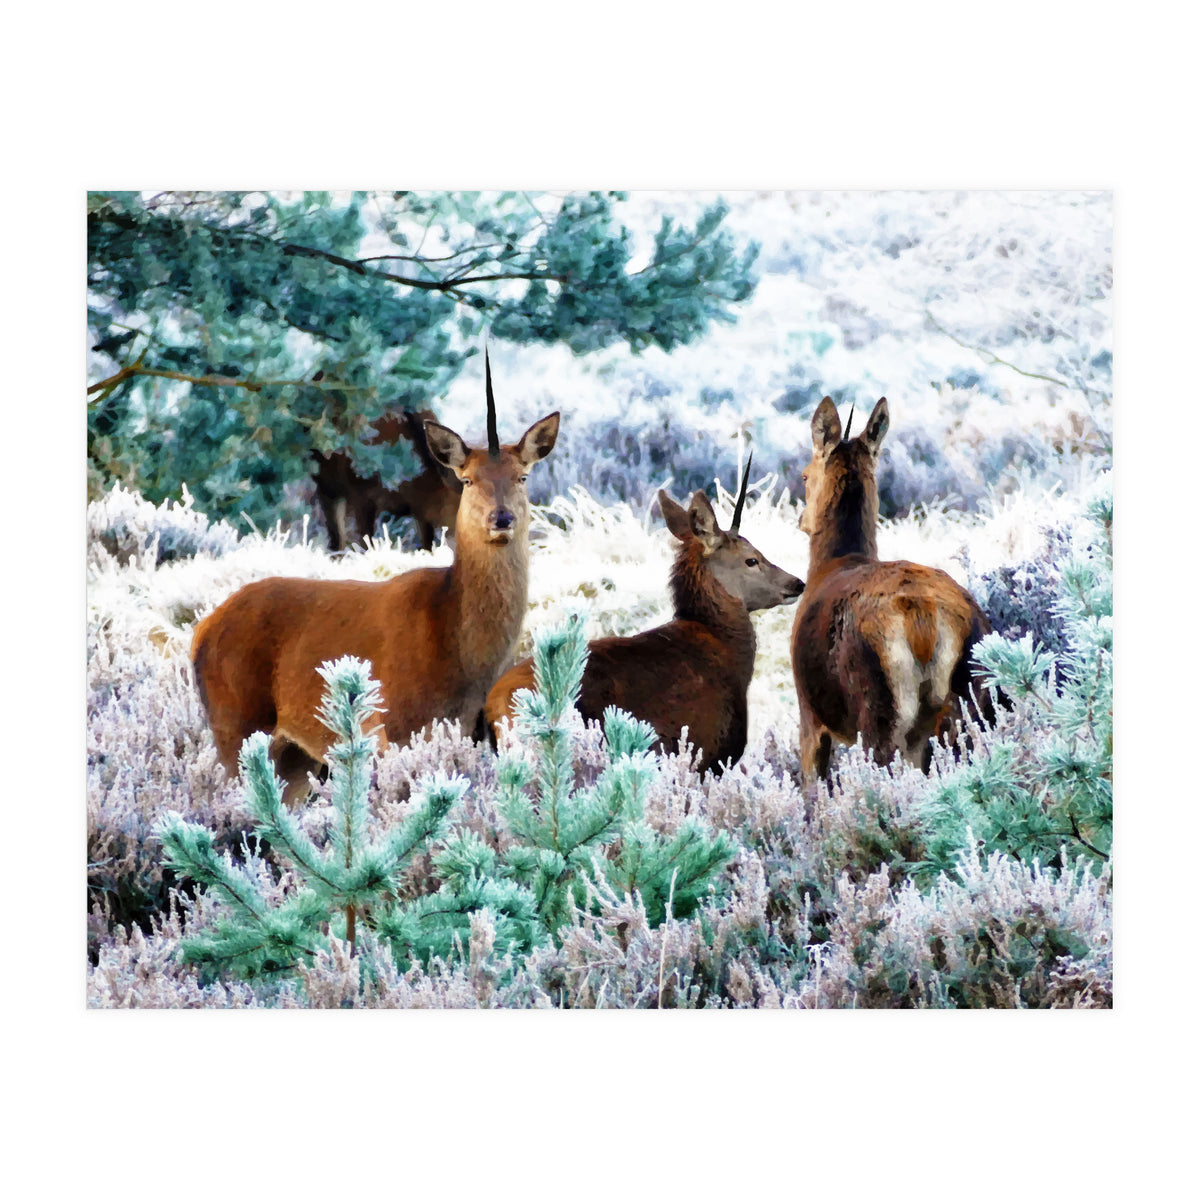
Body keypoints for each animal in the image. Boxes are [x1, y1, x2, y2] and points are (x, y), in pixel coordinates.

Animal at [193, 351, 559, 802]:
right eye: (468, 479)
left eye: (522, 477)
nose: (502, 518)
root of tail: (200, 632)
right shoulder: (394, 727)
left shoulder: (474, 733)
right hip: (235, 722)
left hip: (295, 756)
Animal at [789, 396, 993, 783]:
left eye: (804, 475)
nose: (801, 520)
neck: (831, 563)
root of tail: (923, 619)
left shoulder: (809, 714)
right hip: (976, 695)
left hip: (878, 707)